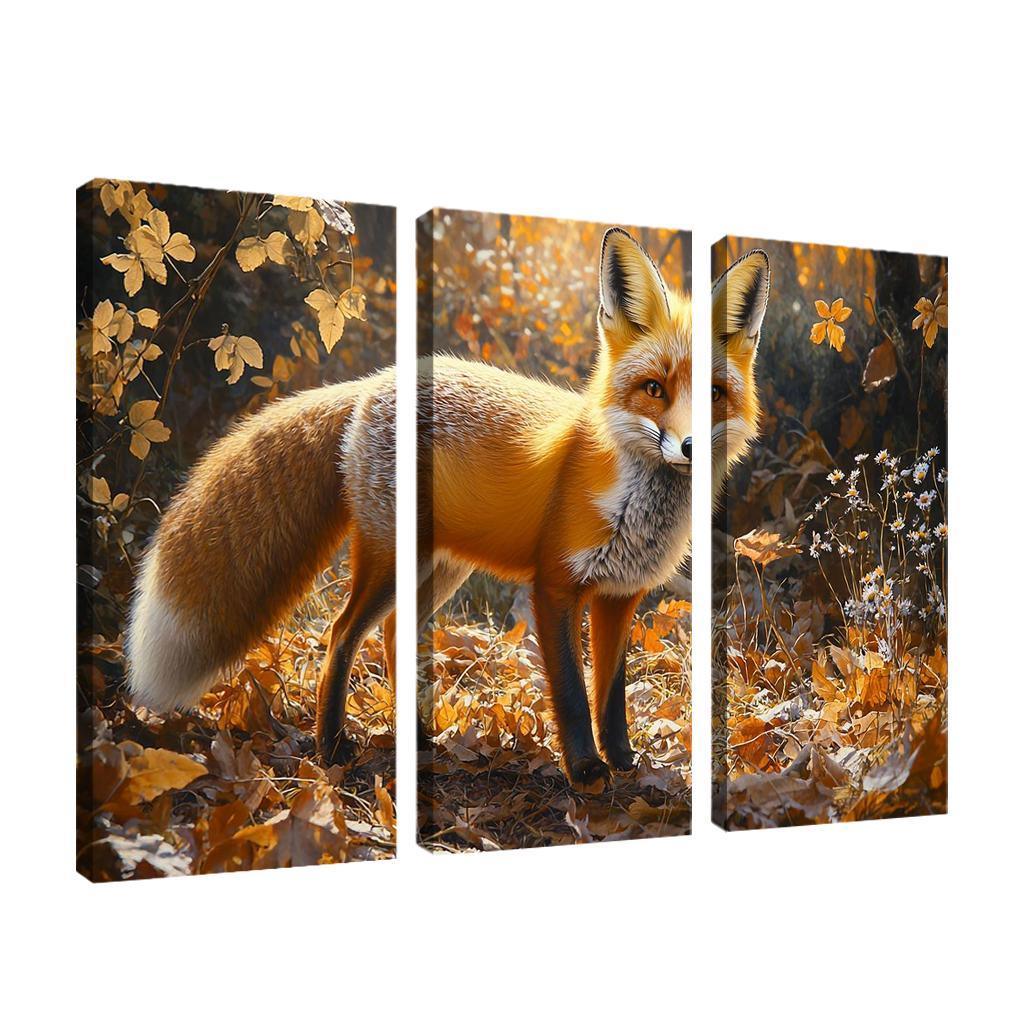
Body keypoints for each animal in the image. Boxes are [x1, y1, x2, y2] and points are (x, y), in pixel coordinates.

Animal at [127, 229, 769, 790]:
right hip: (393, 559)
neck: (634, 504)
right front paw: (586, 771)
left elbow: (609, 694)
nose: (689, 447)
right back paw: (331, 746)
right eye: (655, 389)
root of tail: (369, 383)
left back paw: (412, 736)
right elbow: (570, 692)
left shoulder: (620, 595)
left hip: (440, 569)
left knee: (392, 634)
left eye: (714, 394)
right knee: (341, 634)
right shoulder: (554, 586)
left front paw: (626, 764)